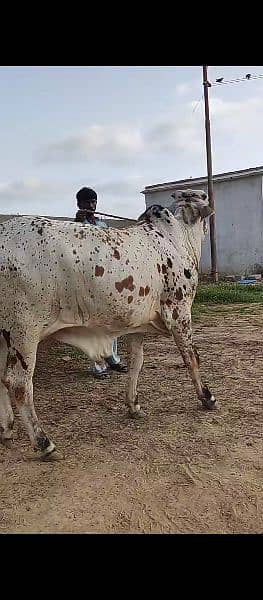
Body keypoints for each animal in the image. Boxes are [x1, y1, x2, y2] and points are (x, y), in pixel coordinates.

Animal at [0, 189, 217, 460]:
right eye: (203, 196)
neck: (176, 237)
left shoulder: (137, 323)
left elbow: (137, 363)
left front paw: (133, 405)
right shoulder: (179, 313)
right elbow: (192, 357)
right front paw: (207, 397)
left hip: (4, 336)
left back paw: (7, 429)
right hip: (24, 331)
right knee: (18, 382)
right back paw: (44, 443)